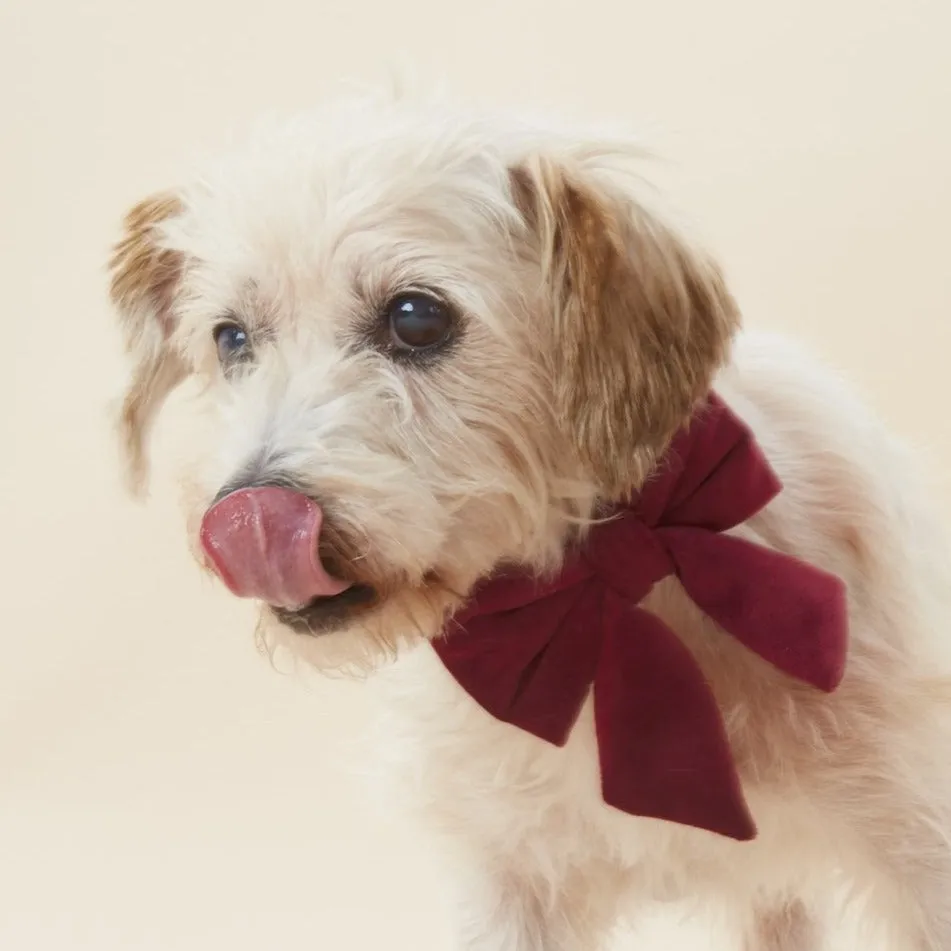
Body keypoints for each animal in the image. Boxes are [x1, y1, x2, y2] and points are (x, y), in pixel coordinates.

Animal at [108, 87, 951, 944]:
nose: (249, 514)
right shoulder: (508, 883)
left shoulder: (920, 843)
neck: (606, 598)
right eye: (231, 338)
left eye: (415, 317)